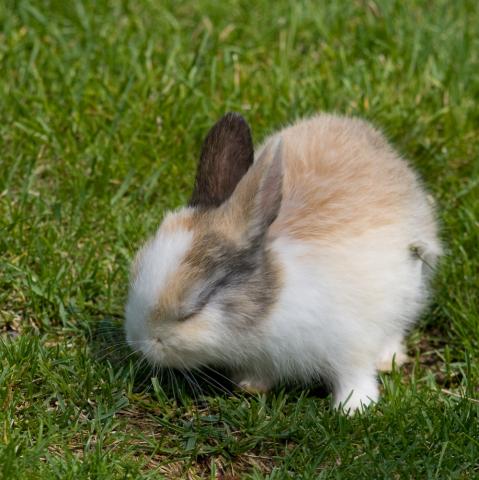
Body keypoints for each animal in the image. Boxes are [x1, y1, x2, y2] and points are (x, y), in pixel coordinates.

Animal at [124, 112, 442, 412]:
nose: (139, 342)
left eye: (195, 307)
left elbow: (354, 375)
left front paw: (353, 409)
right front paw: (251, 386)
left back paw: (387, 360)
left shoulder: (350, 340)